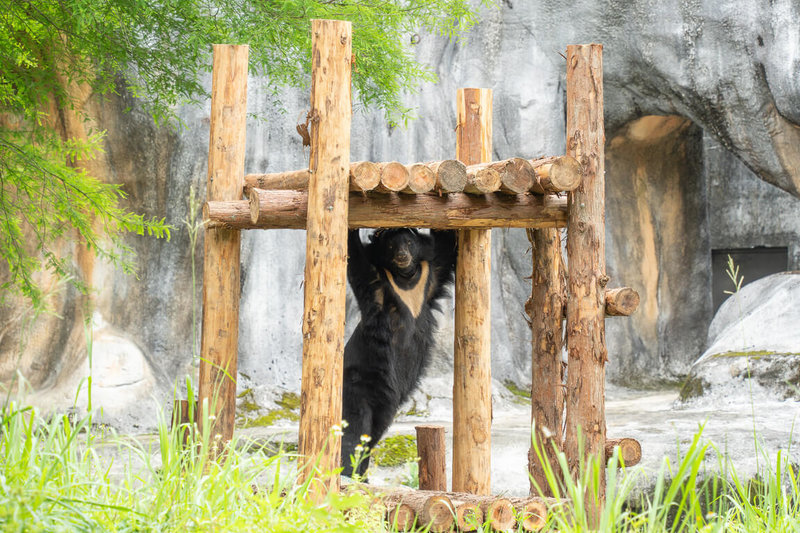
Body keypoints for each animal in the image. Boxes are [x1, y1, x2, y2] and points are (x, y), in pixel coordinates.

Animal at [341, 228, 457, 479]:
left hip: (385, 404)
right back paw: (348, 473)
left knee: (374, 432)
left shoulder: (431, 276)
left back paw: (362, 477)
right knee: (356, 429)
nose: (402, 255)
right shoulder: (375, 281)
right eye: (392, 246)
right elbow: (355, 257)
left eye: (409, 243)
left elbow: (446, 244)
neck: (405, 278)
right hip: (357, 384)